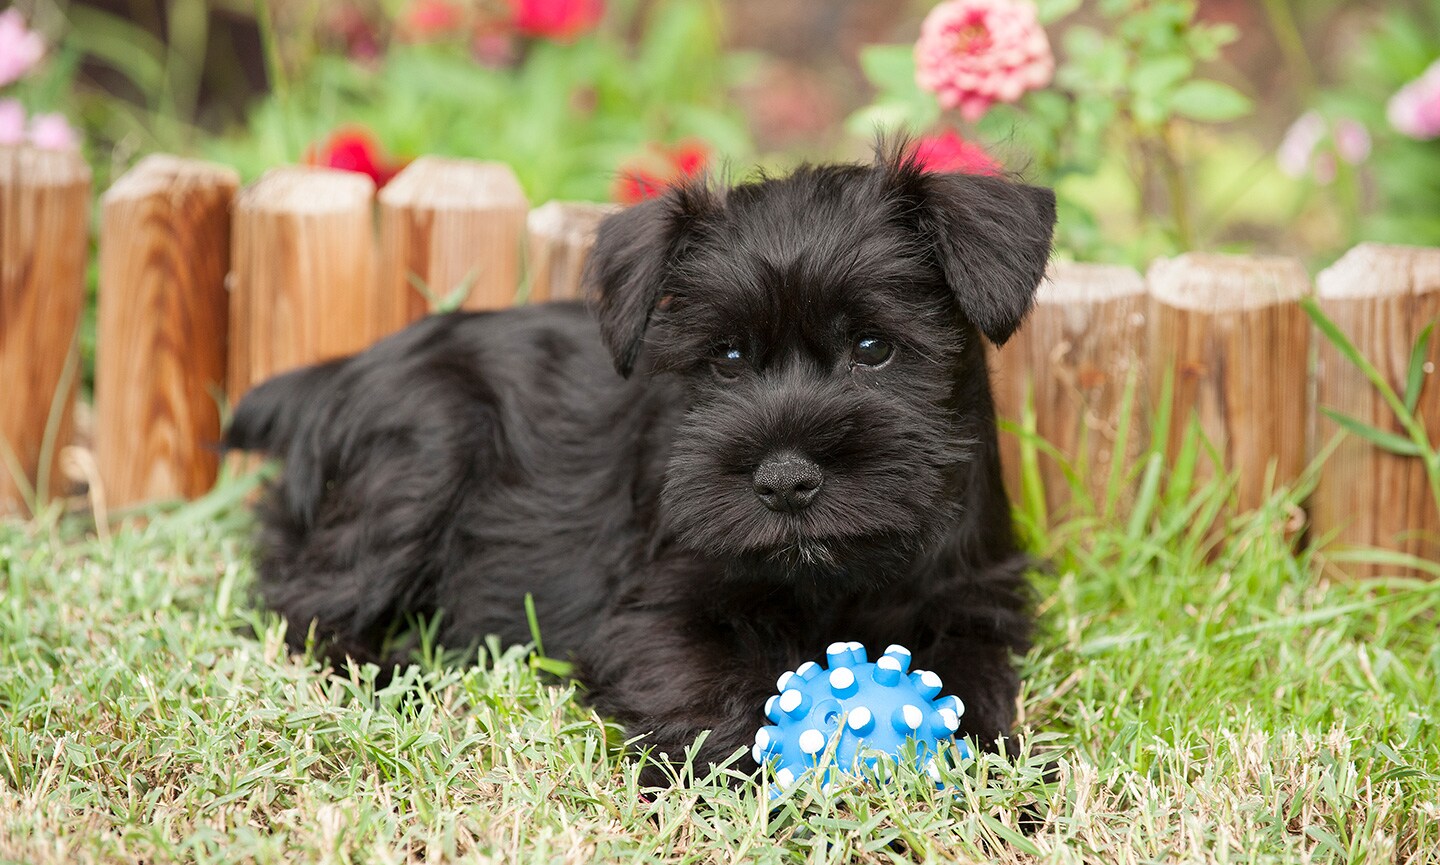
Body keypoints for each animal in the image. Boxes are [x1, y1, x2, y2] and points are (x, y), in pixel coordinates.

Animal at [224, 145, 1059, 777]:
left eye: (874, 346)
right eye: (727, 358)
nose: (784, 480)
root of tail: (334, 374)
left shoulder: (975, 603)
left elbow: (974, 690)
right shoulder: (652, 615)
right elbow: (716, 692)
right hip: (424, 454)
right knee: (309, 605)